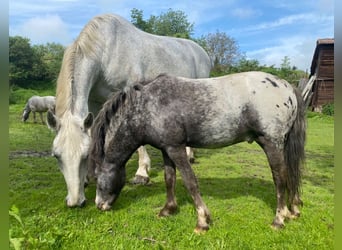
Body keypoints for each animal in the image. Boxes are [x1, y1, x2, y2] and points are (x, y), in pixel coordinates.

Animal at [45, 14, 211, 209]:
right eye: (57, 156)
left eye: (84, 156)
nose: (75, 201)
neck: (105, 50)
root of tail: (201, 51)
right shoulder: (94, 102)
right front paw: (88, 178)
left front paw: (142, 174)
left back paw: (190, 154)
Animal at [89, 72, 308, 234]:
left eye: (97, 177)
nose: (99, 205)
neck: (147, 107)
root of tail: (287, 86)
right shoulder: (167, 149)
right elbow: (170, 179)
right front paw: (168, 210)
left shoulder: (177, 149)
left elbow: (190, 181)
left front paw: (202, 220)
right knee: (291, 174)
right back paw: (293, 210)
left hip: (272, 144)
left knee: (280, 178)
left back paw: (279, 219)